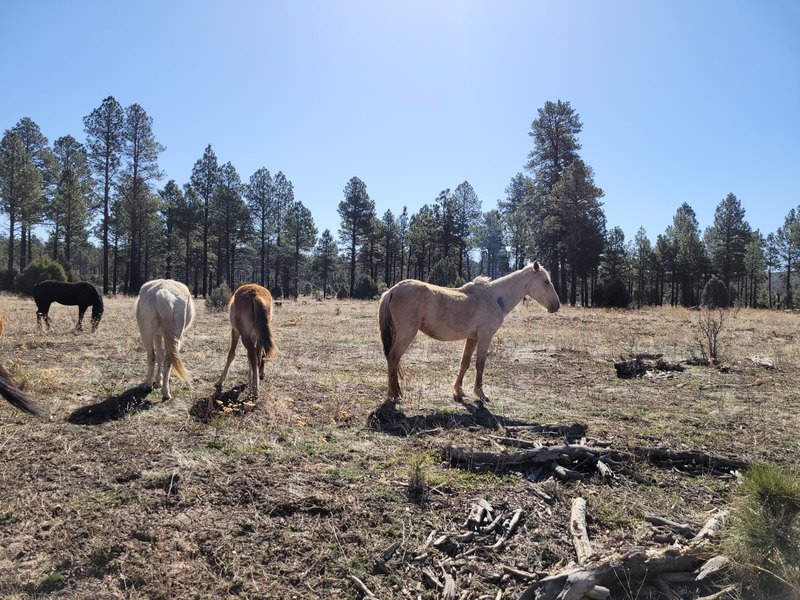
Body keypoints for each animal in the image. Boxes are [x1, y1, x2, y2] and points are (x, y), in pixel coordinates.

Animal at [378, 261, 560, 401]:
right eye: (545, 281)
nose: (556, 306)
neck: (494, 298)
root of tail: (392, 291)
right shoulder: (485, 337)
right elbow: (480, 364)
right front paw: (480, 394)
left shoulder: (472, 338)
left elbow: (464, 363)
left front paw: (458, 390)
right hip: (406, 334)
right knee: (393, 357)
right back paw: (393, 395)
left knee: (394, 360)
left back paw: (398, 392)